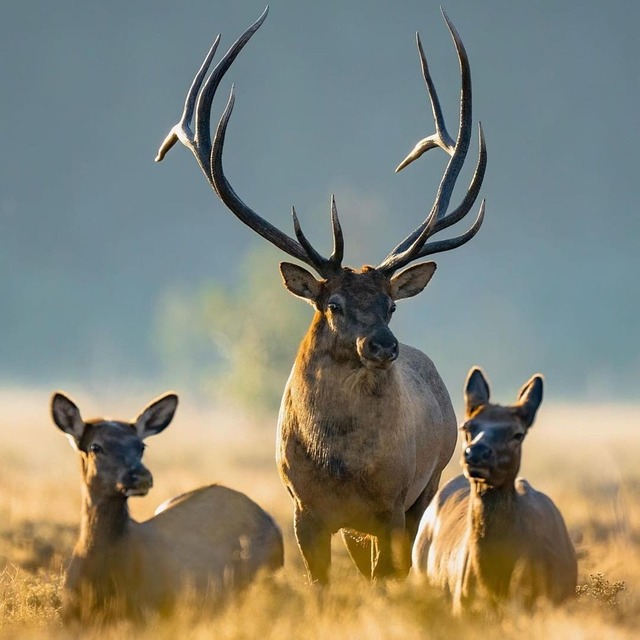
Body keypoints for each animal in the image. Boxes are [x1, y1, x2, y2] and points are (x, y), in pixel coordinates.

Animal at [158, 6, 488, 584]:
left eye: (391, 305)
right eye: (333, 305)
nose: (384, 346)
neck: (341, 469)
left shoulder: (391, 507)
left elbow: (387, 577)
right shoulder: (303, 510)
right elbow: (320, 583)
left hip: (425, 486)